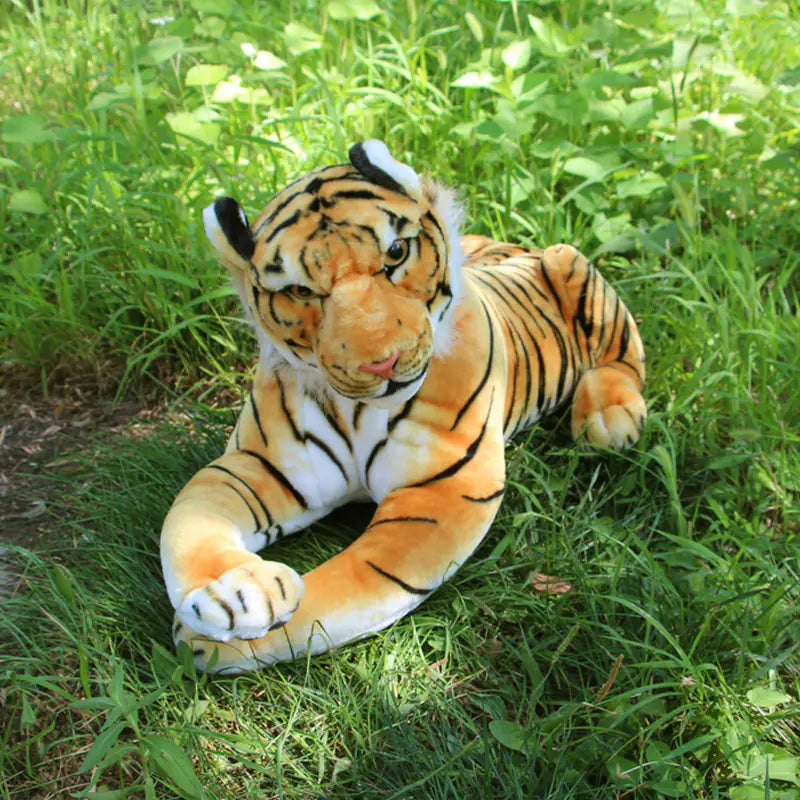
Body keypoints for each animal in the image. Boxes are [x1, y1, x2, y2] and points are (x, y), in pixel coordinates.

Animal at [162, 140, 646, 673]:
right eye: (300, 291)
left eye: (395, 253)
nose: (382, 361)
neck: (355, 411)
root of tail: (513, 245)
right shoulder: (260, 465)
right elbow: (189, 520)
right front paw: (234, 593)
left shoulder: (439, 493)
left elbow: (339, 589)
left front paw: (212, 640)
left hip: (569, 262)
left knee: (624, 353)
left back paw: (609, 418)